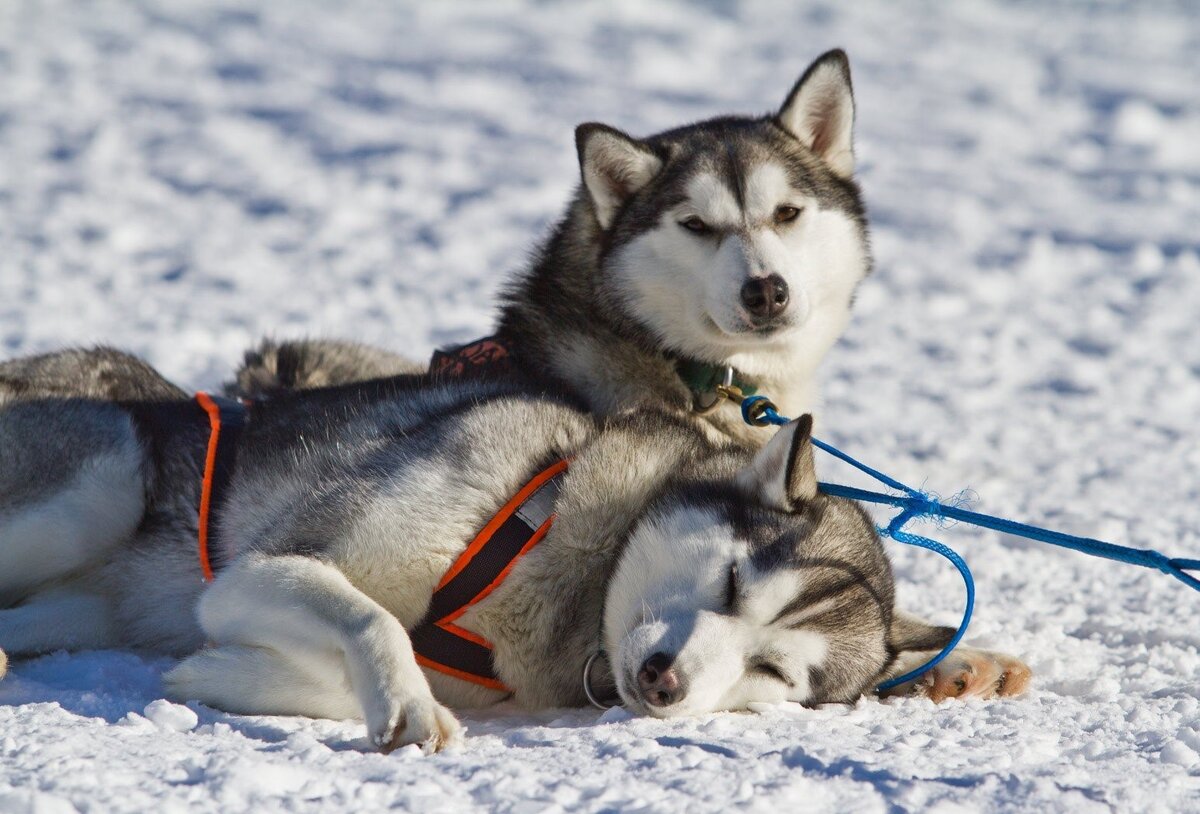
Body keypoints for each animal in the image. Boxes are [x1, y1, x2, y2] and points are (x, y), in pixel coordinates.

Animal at [0, 348, 1008, 753]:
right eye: (729, 582)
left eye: (776, 672)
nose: (665, 683)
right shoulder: (260, 570)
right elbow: (374, 622)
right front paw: (405, 703)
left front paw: (225, 675)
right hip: (104, 481)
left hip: (77, 599)